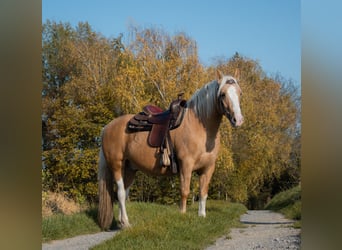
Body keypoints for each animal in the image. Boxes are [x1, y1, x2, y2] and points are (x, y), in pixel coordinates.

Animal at [97, 70, 244, 229]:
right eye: (222, 94)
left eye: (240, 93)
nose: (238, 120)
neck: (199, 127)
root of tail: (107, 127)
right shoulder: (186, 165)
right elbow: (185, 191)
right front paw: (182, 215)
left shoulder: (208, 168)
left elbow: (203, 192)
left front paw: (202, 215)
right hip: (116, 164)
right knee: (120, 193)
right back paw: (126, 222)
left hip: (130, 168)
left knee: (124, 191)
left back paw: (122, 222)